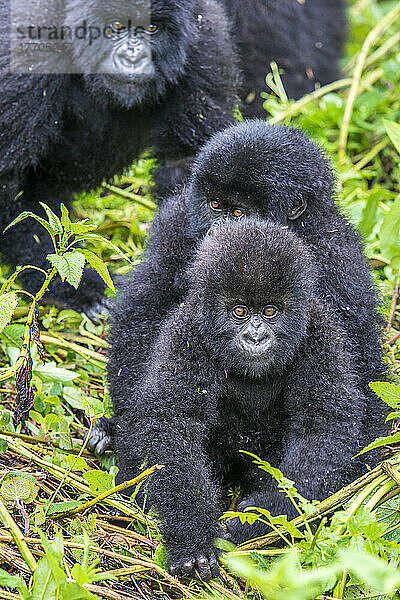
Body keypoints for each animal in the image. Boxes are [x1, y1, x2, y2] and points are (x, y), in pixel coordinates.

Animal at [0, 0, 238, 316]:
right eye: (115, 27)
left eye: (152, 28)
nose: (132, 56)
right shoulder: (26, 53)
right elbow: (9, 185)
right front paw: (73, 288)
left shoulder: (206, 42)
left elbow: (188, 163)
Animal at [89, 120, 386, 454]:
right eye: (215, 205)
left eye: (238, 213)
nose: (215, 232)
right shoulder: (176, 221)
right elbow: (145, 311)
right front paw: (121, 426)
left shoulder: (338, 258)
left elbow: (354, 353)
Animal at [111, 220, 382, 580]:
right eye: (239, 311)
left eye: (270, 311)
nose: (255, 336)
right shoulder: (188, 331)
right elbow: (172, 421)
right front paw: (194, 537)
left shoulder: (319, 329)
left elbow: (322, 425)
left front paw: (258, 521)